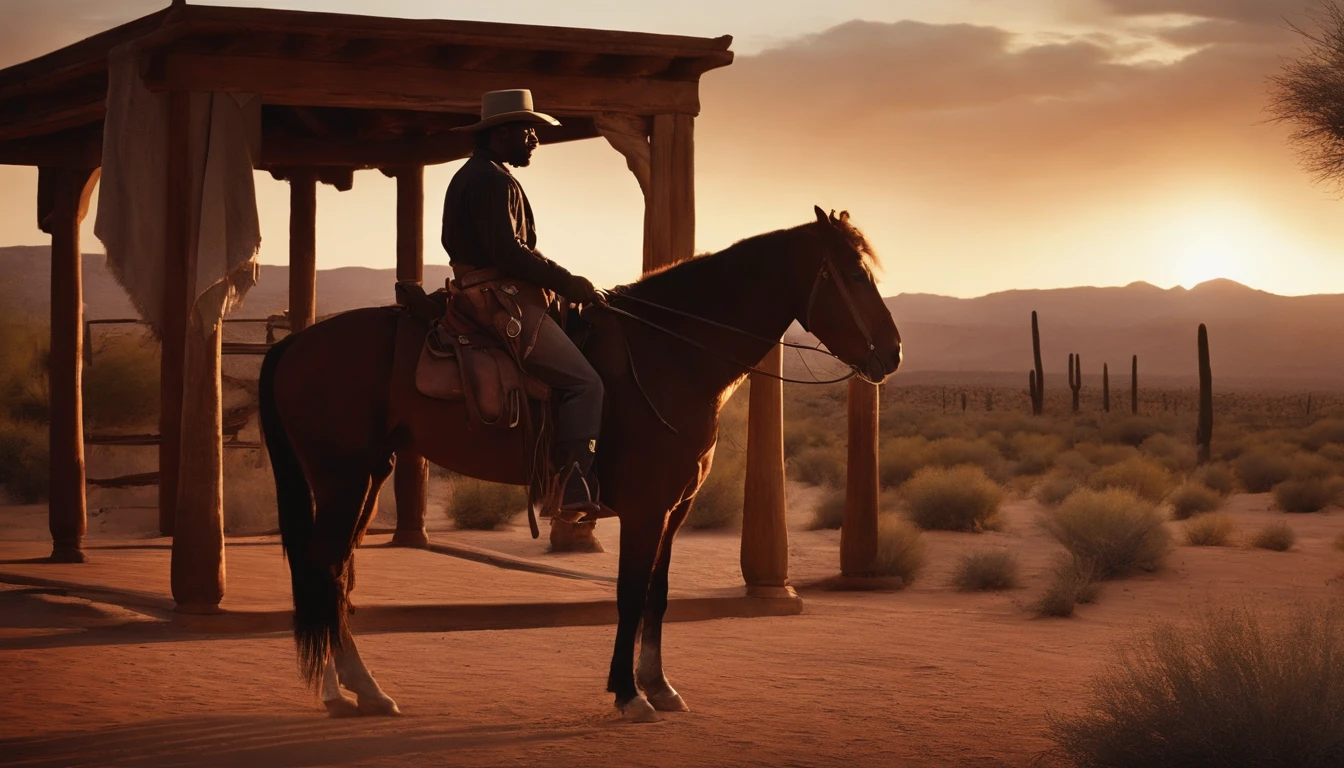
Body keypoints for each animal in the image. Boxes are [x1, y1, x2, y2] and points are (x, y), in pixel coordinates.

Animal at [254, 203, 903, 720]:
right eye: (853, 273)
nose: (893, 353)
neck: (670, 355)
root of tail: (296, 342)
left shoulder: (673, 510)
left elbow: (658, 593)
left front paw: (659, 686)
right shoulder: (644, 510)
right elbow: (629, 593)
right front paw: (628, 694)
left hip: (366, 476)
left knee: (334, 572)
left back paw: (351, 690)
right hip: (341, 478)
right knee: (326, 568)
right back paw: (354, 690)